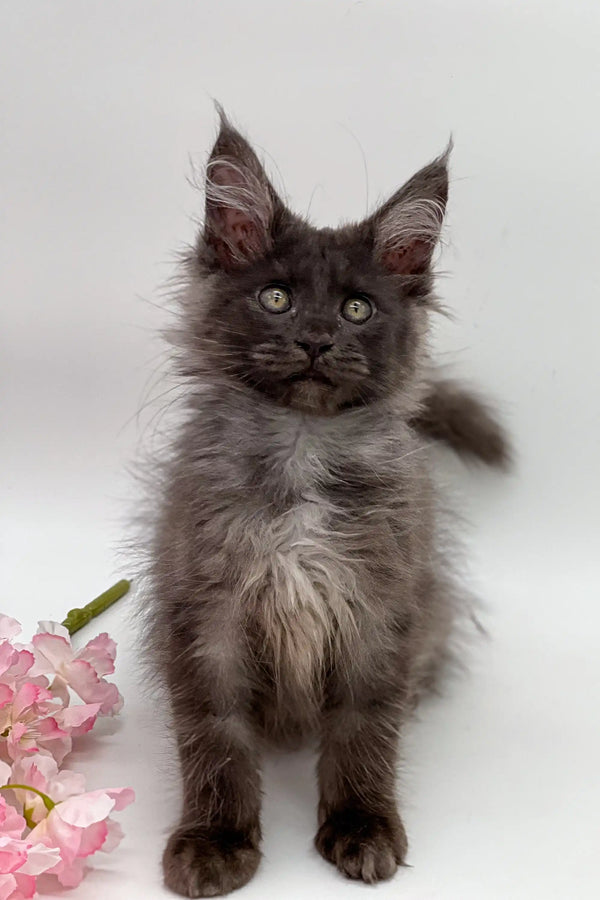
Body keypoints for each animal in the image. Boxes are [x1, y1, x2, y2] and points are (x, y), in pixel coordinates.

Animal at [143, 109, 508, 896]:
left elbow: (363, 729)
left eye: (357, 308)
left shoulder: (378, 608)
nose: (316, 339)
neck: (302, 452)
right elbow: (215, 736)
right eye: (276, 298)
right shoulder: (206, 613)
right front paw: (215, 838)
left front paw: (362, 825)